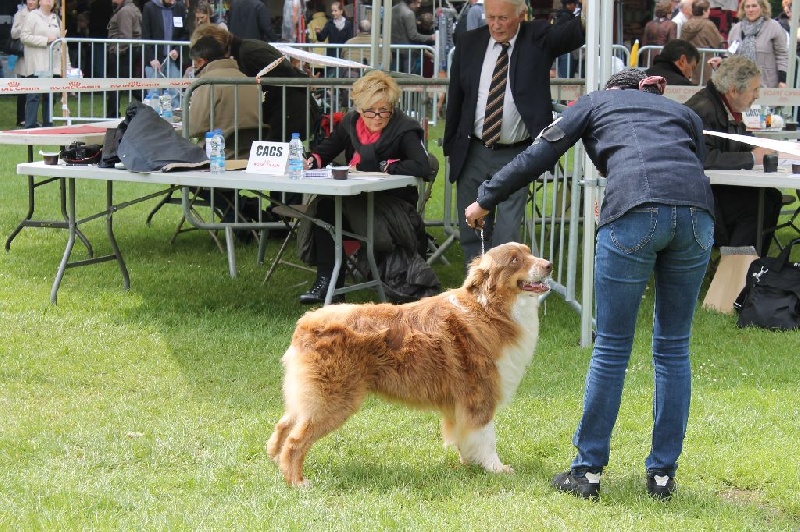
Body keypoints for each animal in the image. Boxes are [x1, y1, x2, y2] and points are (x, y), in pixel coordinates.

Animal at [268, 243, 552, 484]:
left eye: (529, 252)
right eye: (515, 260)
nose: (549, 264)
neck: (489, 309)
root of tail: (307, 322)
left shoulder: (461, 403)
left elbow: (465, 435)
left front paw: (469, 463)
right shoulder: (480, 395)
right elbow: (487, 437)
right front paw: (496, 469)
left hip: (310, 395)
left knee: (284, 425)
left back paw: (276, 462)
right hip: (333, 400)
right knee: (295, 441)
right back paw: (297, 482)